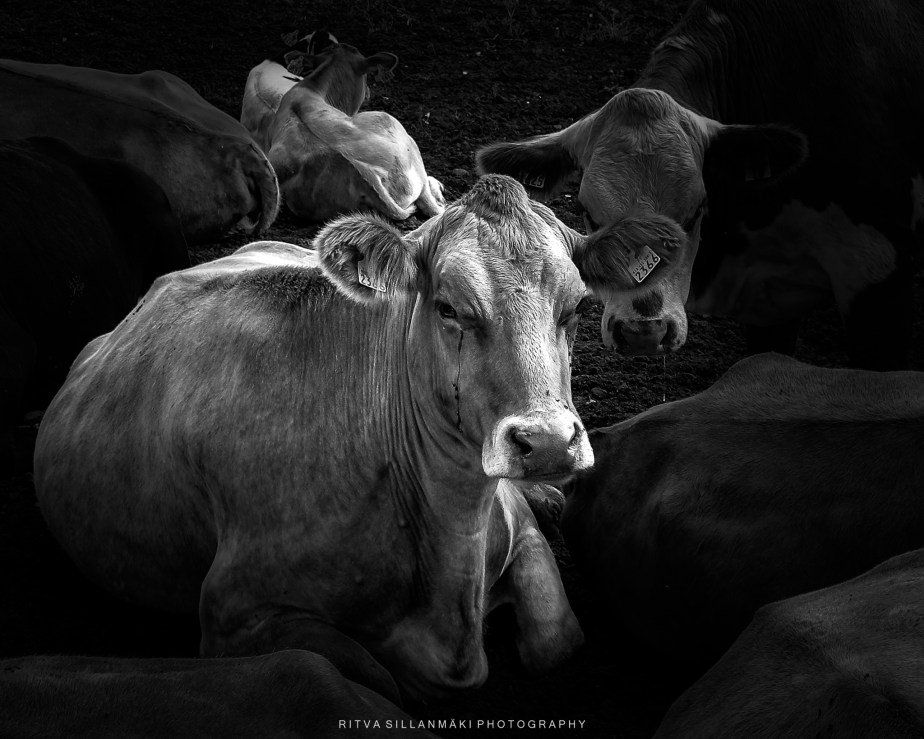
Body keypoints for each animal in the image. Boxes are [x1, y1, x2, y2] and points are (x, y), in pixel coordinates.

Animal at [33, 175, 663, 701]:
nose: (549, 442)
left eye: (576, 307)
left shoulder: (520, 533)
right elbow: (375, 677)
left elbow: (557, 642)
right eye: (447, 308)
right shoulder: (236, 615)